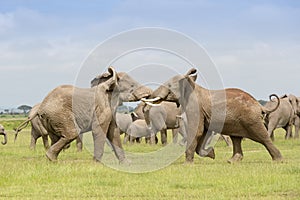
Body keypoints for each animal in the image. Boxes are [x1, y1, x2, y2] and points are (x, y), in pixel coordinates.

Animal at [144, 68, 282, 163]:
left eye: (169, 86)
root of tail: (260, 106)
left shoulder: (195, 107)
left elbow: (197, 131)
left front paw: (187, 164)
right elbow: (202, 132)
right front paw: (212, 154)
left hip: (250, 118)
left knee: (262, 136)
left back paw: (278, 160)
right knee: (236, 138)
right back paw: (231, 161)